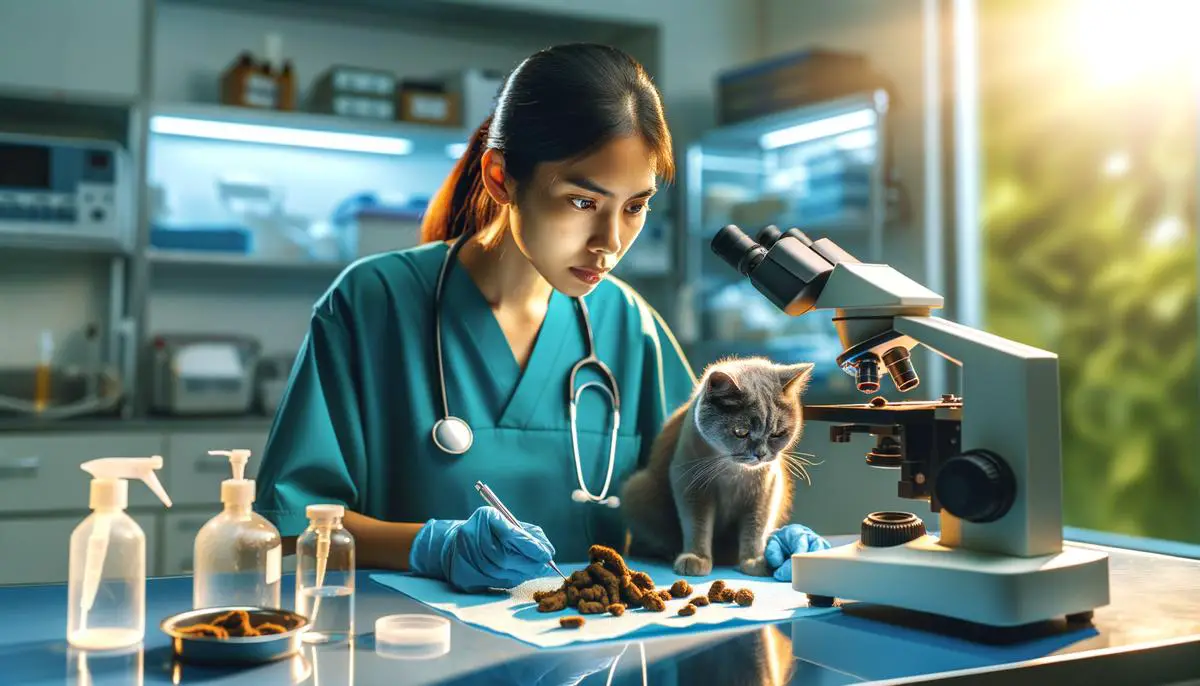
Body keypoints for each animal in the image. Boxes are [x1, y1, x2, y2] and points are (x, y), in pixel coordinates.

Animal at [619, 357, 816, 575]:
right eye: (741, 432)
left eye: (777, 434)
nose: (760, 454)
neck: (732, 472)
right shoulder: (690, 483)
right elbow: (697, 524)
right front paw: (695, 558)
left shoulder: (766, 488)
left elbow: (756, 526)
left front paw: (755, 560)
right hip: (637, 489)